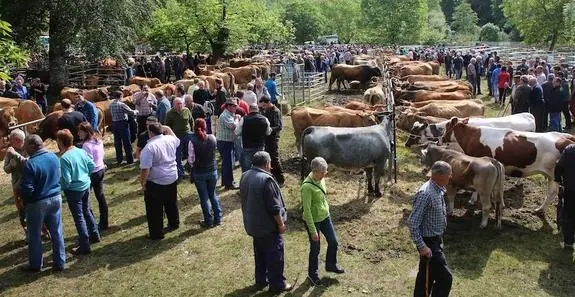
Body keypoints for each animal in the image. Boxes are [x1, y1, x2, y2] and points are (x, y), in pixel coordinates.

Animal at [438, 117, 575, 212]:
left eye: (447, 126)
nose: (440, 139)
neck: (473, 136)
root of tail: (565, 137)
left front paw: (472, 200)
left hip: (554, 174)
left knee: (552, 192)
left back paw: (540, 209)